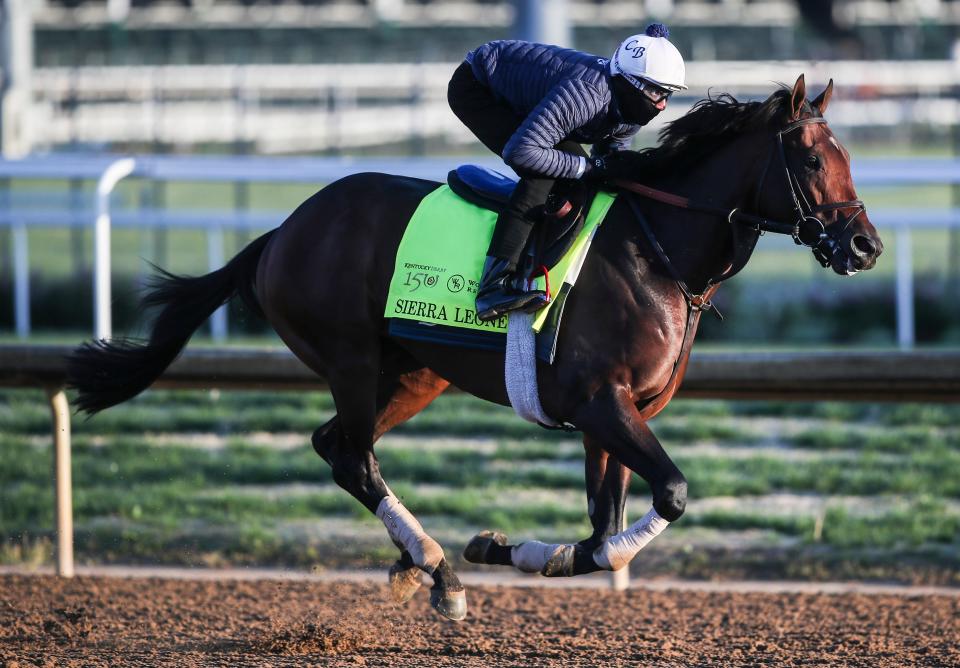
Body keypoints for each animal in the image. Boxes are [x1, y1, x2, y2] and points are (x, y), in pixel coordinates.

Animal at [65, 77, 876, 620]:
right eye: (811, 159)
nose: (865, 245)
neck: (657, 253)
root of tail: (282, 232)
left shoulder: (619, 415)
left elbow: (601, 533)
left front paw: (504, 548)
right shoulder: (600, 403)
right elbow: (667, 496)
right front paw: (482, 556)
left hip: (416, 373)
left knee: (338, 446)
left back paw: (416, 565)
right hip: (352, 357)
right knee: (355, 457)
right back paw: (436, 572)